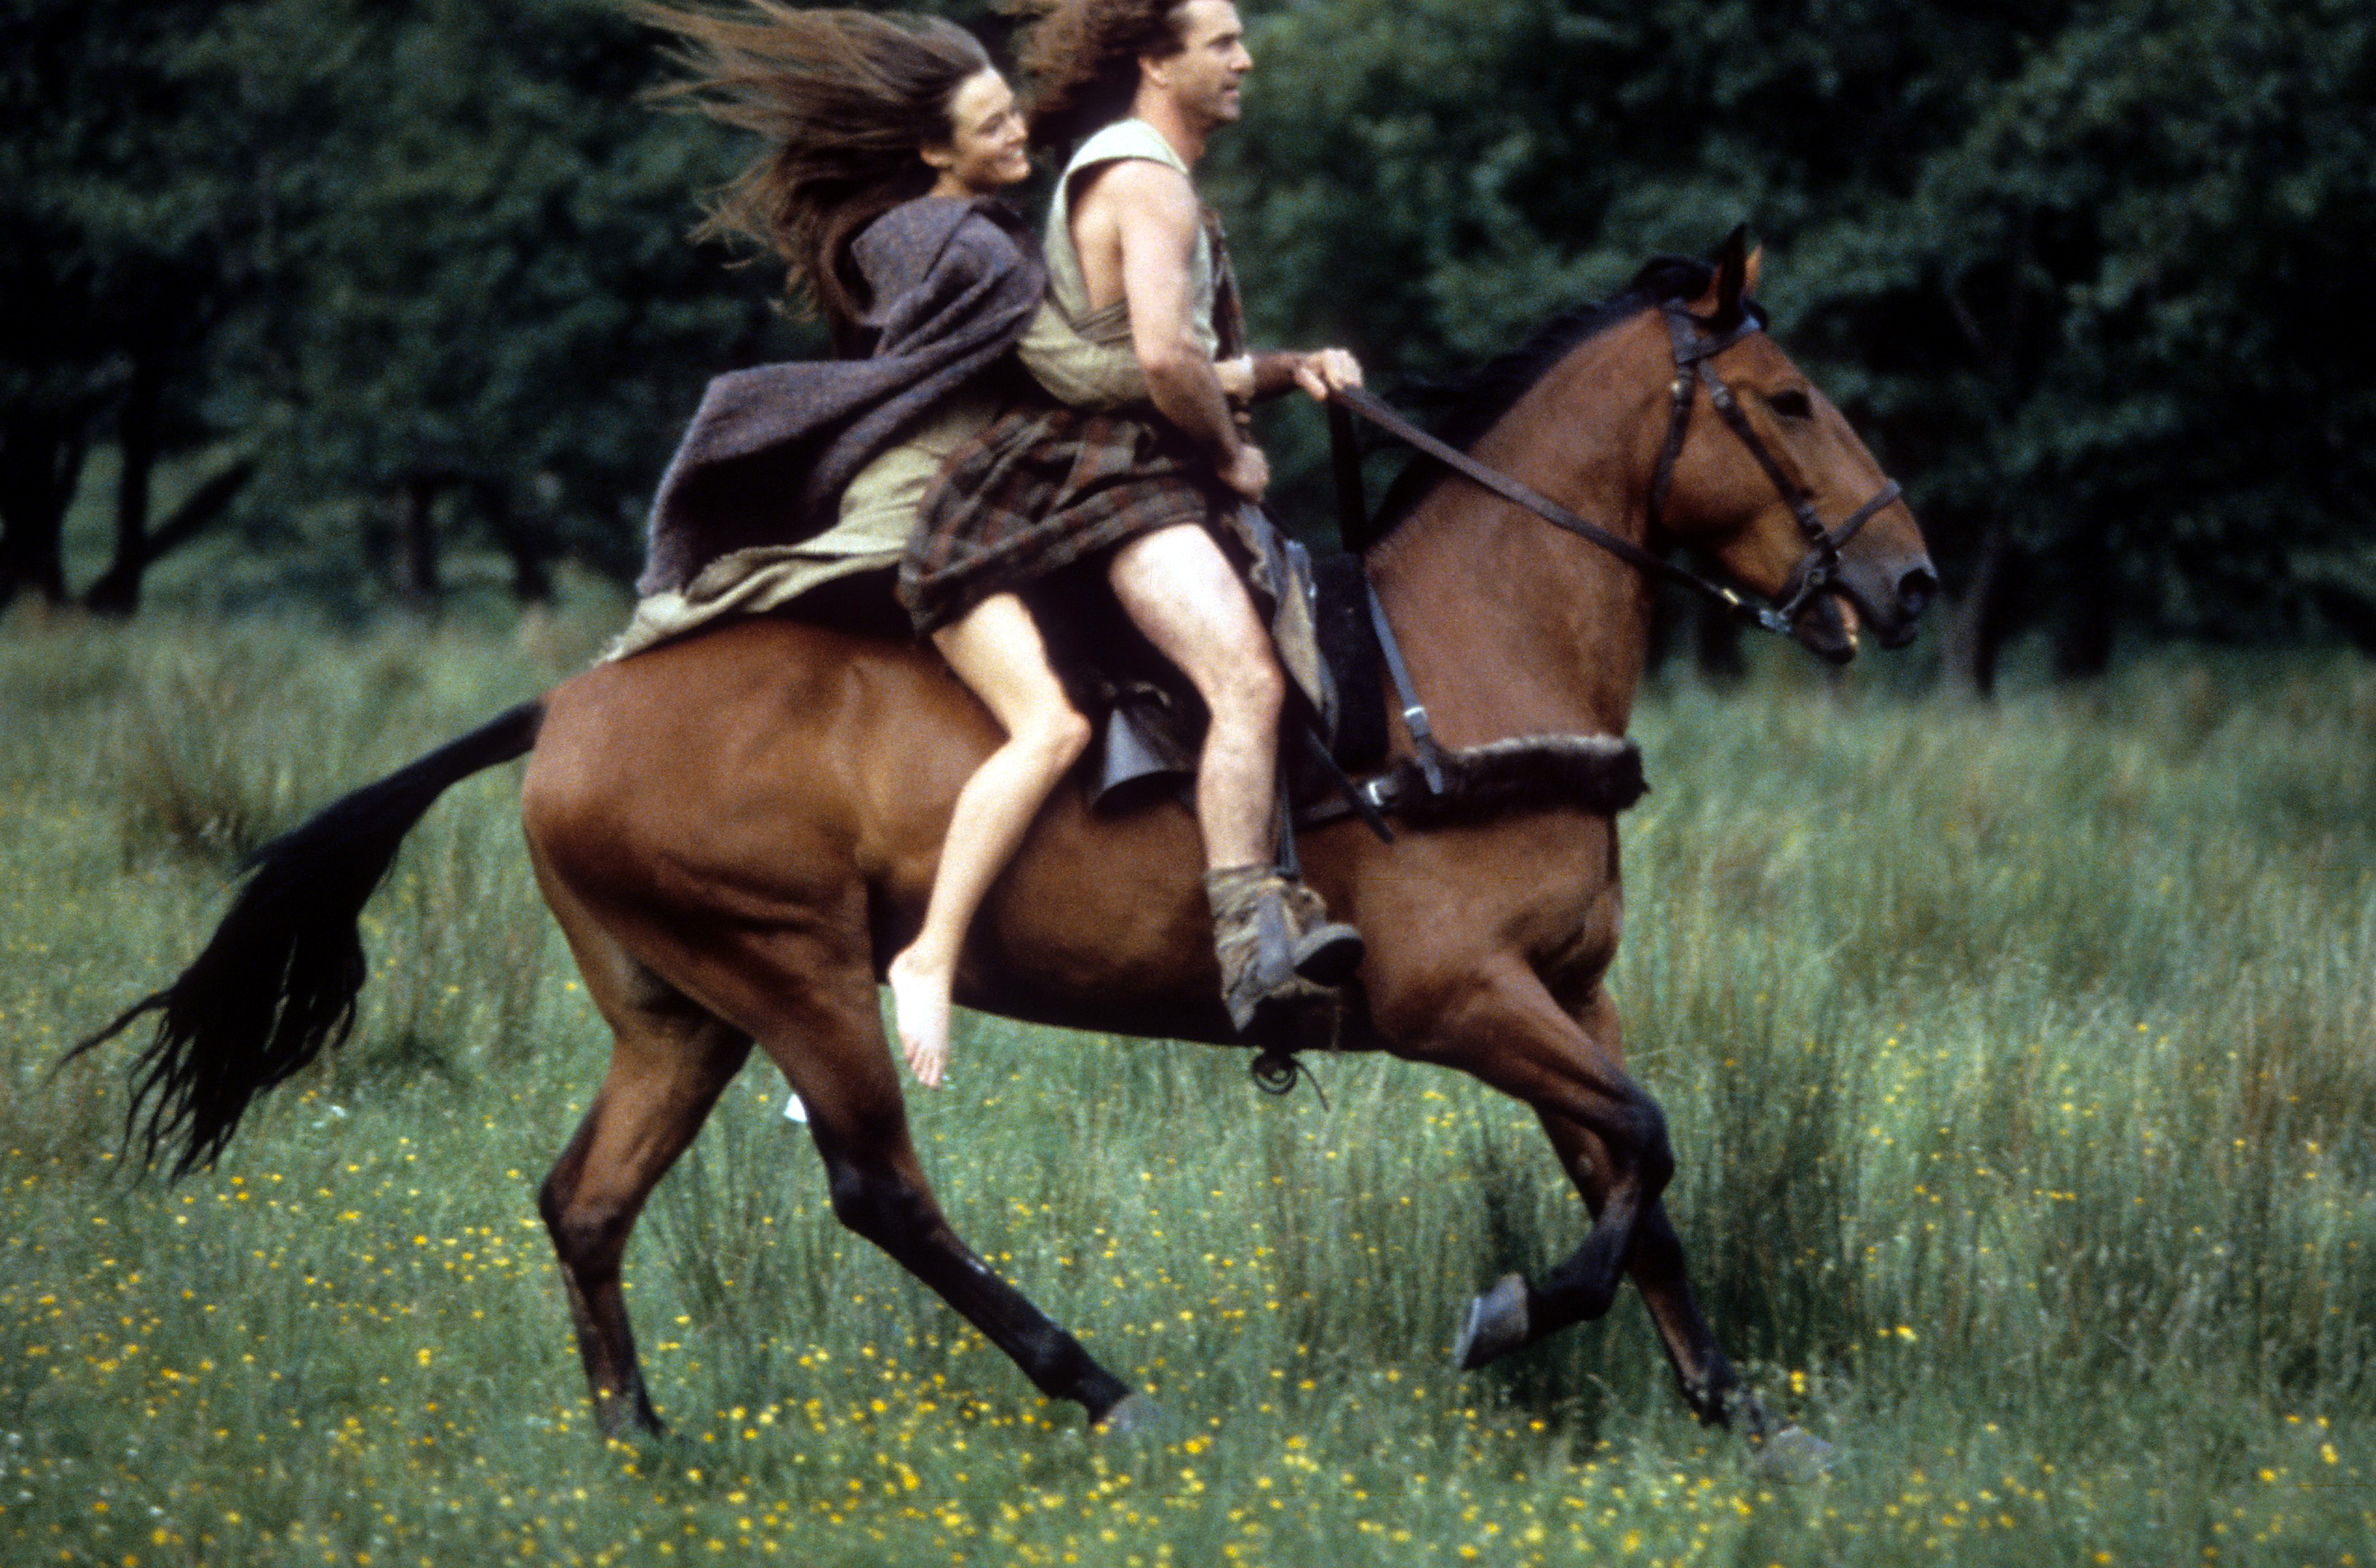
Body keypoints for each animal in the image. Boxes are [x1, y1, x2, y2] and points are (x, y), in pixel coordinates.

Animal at [74, 238, 1929, 1454]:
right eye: (1784, 401)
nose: (1905, 582)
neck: (1454, 670)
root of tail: (564, 707)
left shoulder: (1565, 992)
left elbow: (1637, 1175)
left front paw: (1734, 1409)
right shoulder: (1462, 1002)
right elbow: (1645, 1145)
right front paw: (1512, 1317)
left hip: (682, 1013)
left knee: (583, 1205)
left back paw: (639, 1445)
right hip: (799, 976)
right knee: (880, 1191)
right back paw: (1097, 1388)